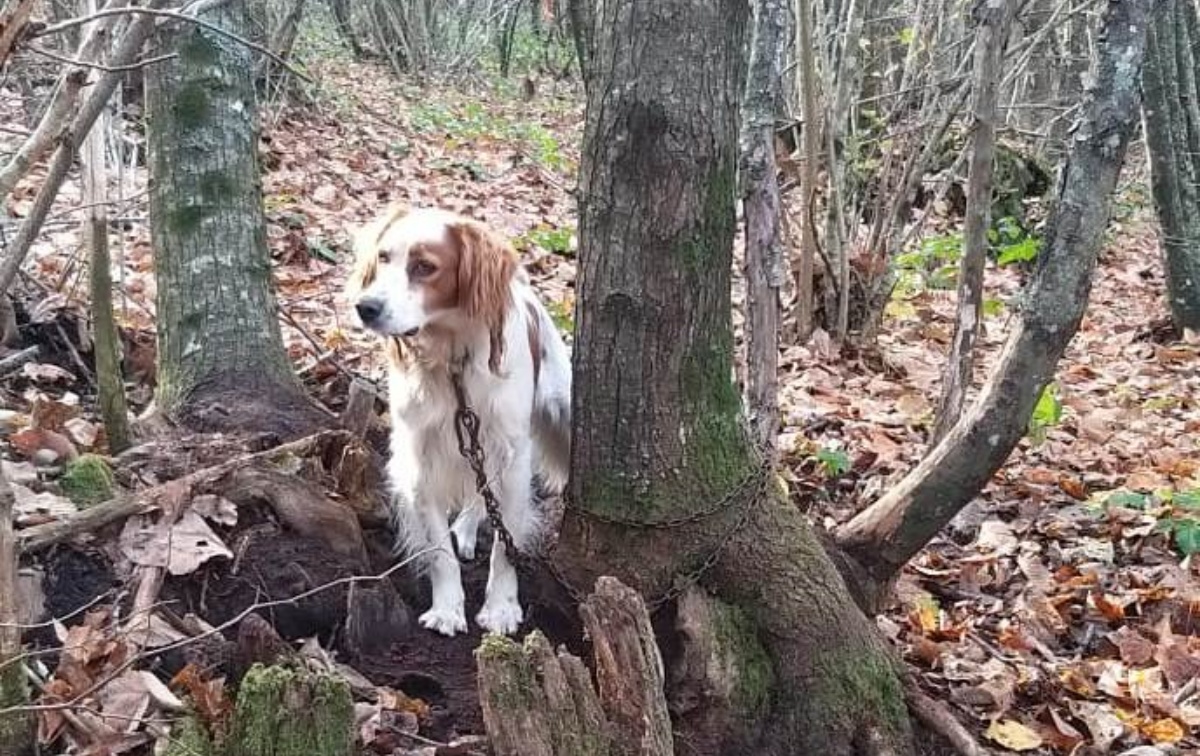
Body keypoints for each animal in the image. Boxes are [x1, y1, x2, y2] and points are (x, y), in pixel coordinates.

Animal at [348, 207, 571, 638]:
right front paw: (447, 609)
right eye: (383, 257)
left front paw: (501, 607)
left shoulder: (512, 457)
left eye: (424, 267)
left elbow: (505, 545)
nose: (365, 307)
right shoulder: (422, 459)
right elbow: (439, 552)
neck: (453, 359)